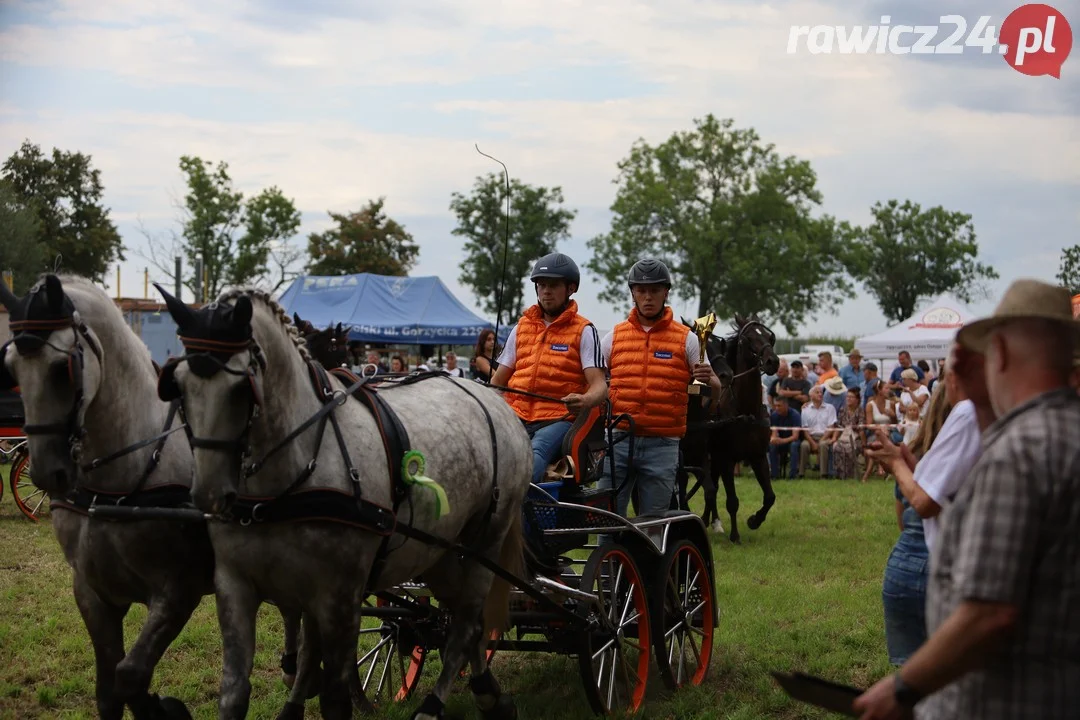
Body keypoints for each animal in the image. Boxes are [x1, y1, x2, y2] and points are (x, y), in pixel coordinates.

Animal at [0, 274, 300, 716]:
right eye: (12, 368)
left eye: (60, 367)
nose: (46, 472)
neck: (119, 484)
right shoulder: (92, 593)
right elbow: (109, 688)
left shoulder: (177, 592)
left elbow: (130, 675)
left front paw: (166, 709)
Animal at [157, 287, 531, 720]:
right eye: (177, 386)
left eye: (241, 387)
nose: (209, 494)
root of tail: (495, 401)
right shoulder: (237, 585)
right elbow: (238, 690)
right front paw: (291, 697)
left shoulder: (338, 594)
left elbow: (332, 692)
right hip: (441, 554)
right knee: (463, 621)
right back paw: (488, 692)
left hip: (482, 545)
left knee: (468, 622)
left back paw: (440, 703)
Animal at [699, 313, 777, 544]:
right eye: (747, 338)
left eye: (769, 336)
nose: (773, 361)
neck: (746, 410)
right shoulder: (727, 459)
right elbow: (732, 500)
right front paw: (735, 535)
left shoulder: (758, 456)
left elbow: (770, 497)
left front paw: (754, 521)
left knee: (712, 487)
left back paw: (711, 521)